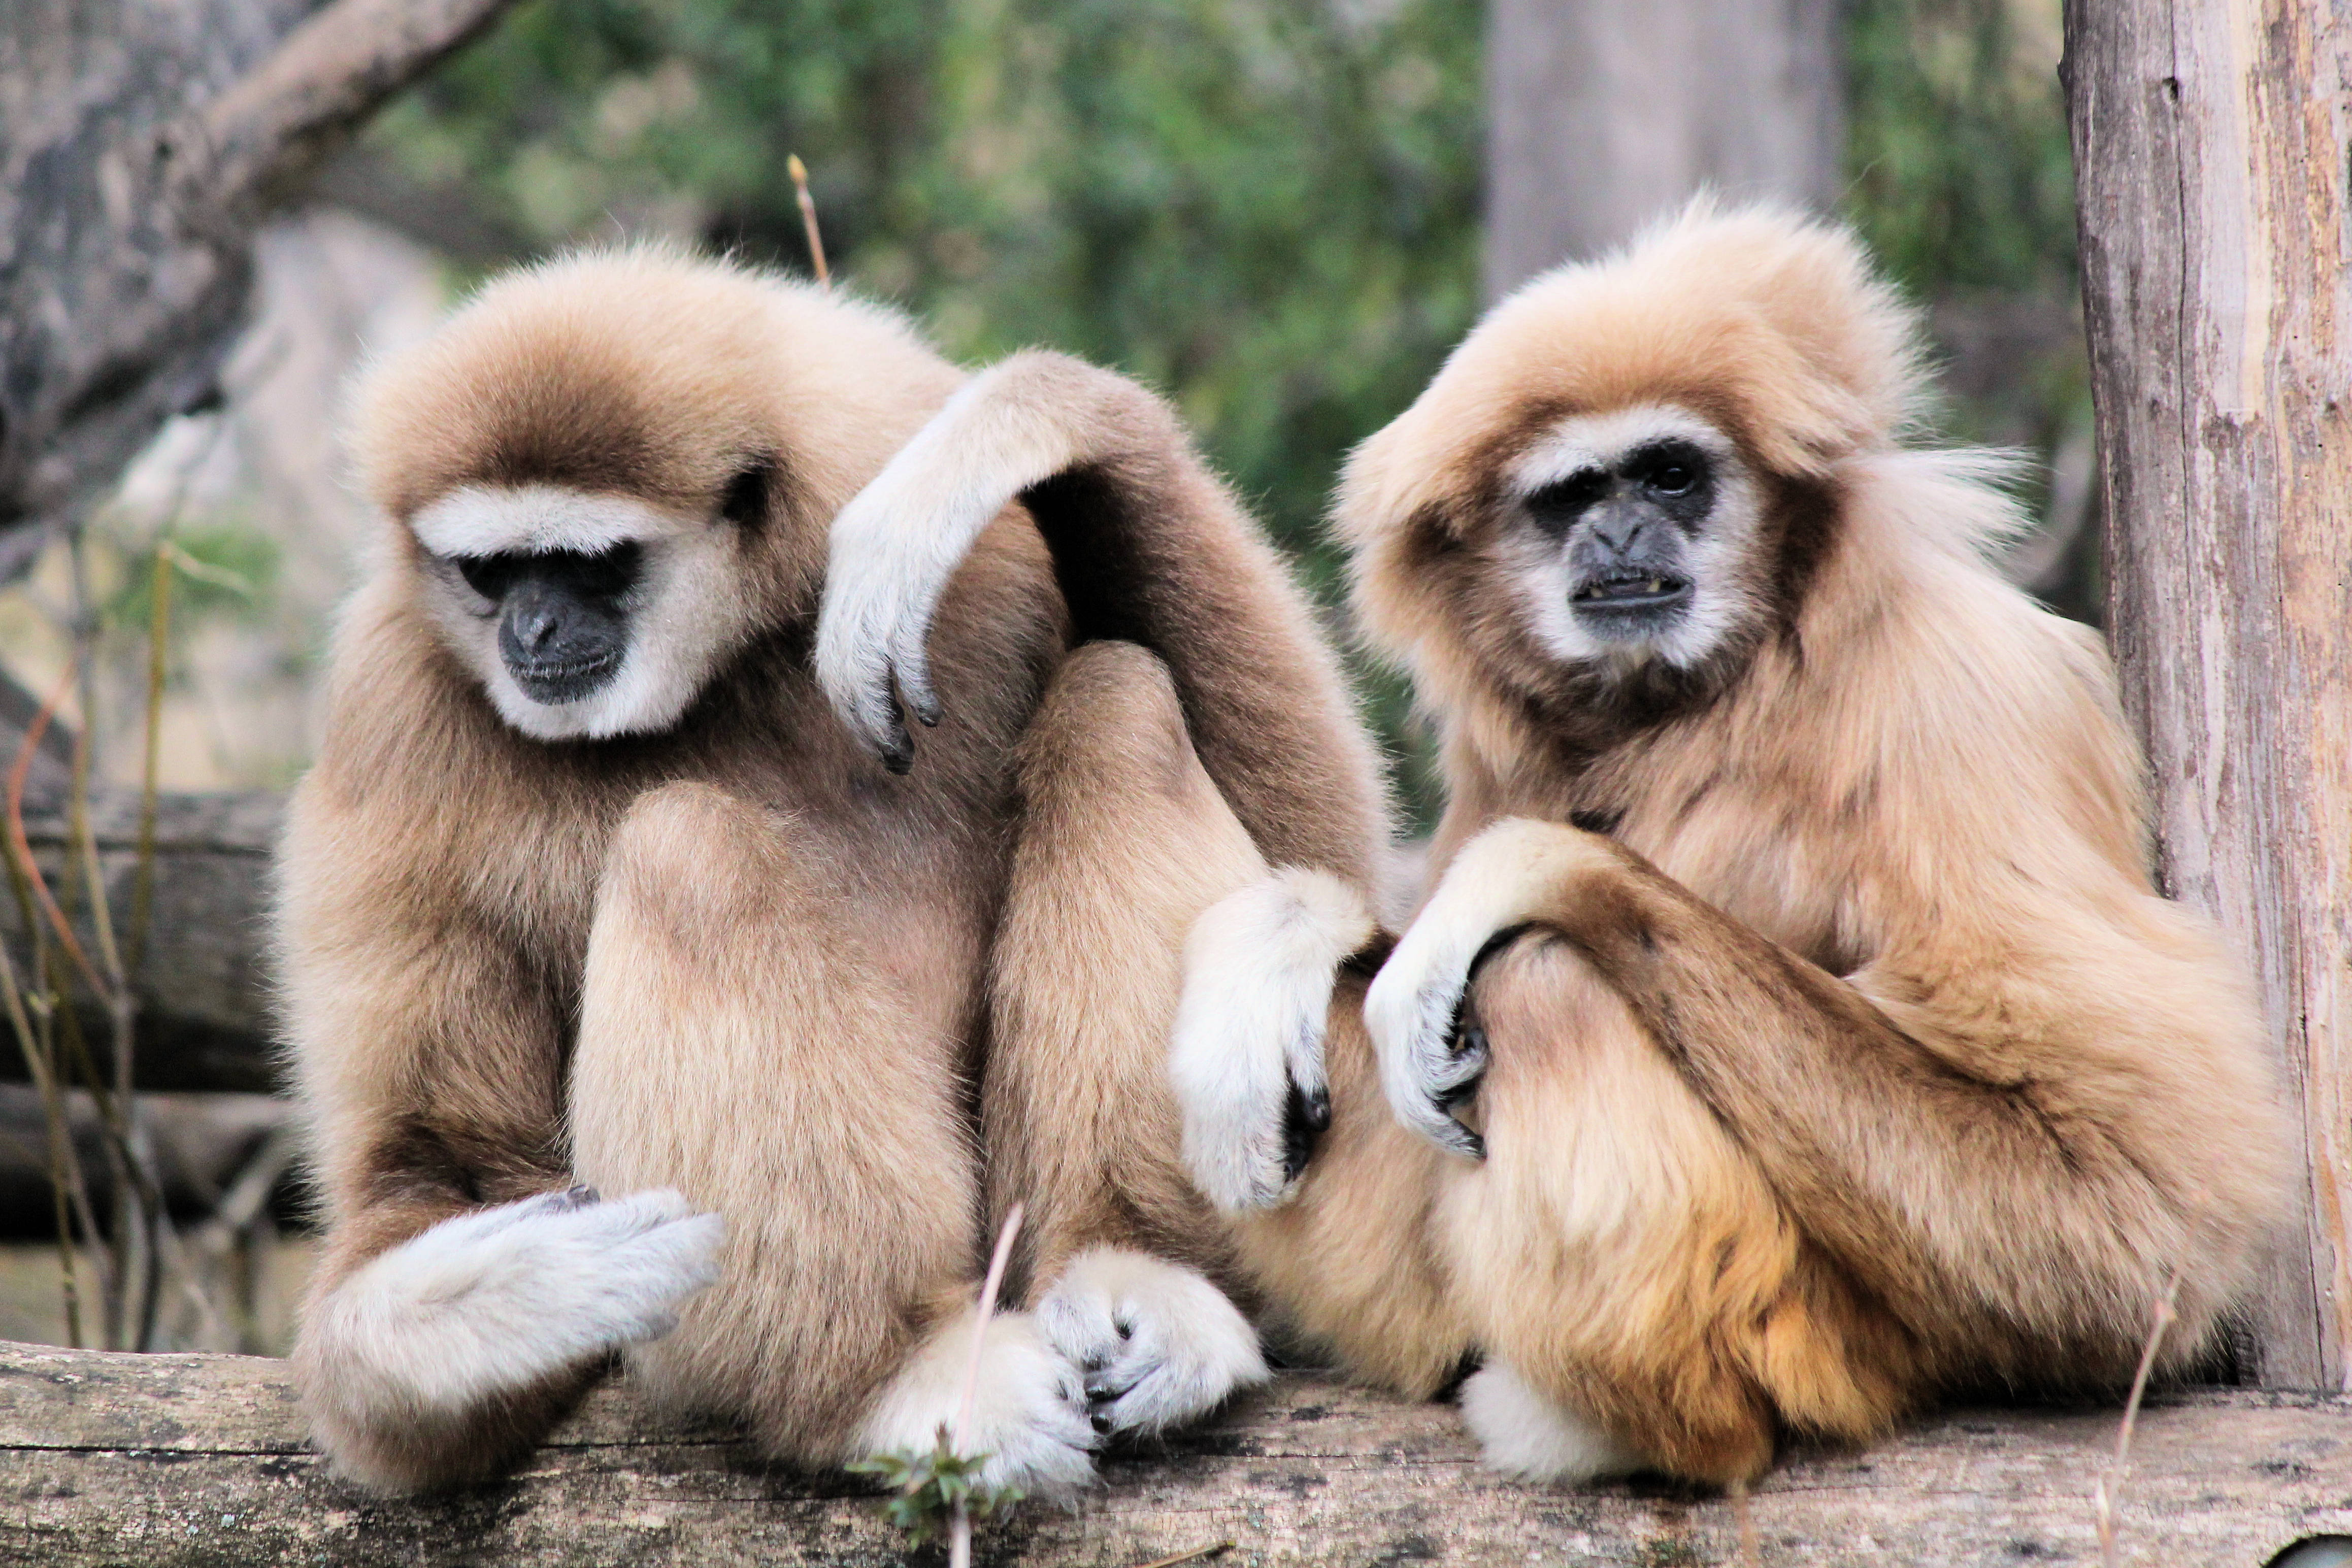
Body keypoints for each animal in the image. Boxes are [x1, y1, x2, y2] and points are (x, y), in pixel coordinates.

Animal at [280, 247, 1379, 1494]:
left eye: (588, 567)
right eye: (488, 571)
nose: (531, 628)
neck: (727, 665)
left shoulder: (929, 499)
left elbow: (1327, 846)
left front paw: (1015, 429)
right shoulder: (390, 707)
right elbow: (424, 1175)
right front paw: (496, 1292)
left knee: (1120, 703)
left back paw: (1139, 1272)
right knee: (689, 851)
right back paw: (887, 1372)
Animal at [1147, 202, 2289, 1486]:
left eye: (1670, 472)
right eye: (1568, 494)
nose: (1617, 527)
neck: (1730, 687)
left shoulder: (1963, 693)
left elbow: (2123, 1211)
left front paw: (1527, 871)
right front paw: (1278, 944)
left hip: (1841, 1330)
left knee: (1542, 979)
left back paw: (1603, 1420)